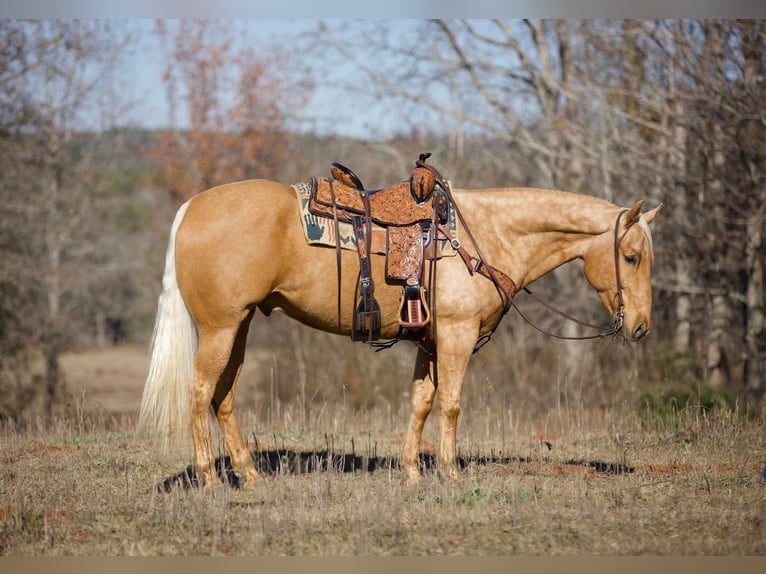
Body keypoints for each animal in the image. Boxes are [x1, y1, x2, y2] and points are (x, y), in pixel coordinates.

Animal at [140, 177, 664, 490]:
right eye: (632, 256)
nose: (640, 326)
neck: (488, 235)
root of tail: (191, 207)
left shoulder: (430, 341)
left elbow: (421, 402)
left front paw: (412, 472)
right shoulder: (456, 335)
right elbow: (450, 403)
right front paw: (452, 474)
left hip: (240, 326)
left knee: (223, 396)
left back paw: (249, 475)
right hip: (221, 327)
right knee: (200, 391)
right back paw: (210, 479)